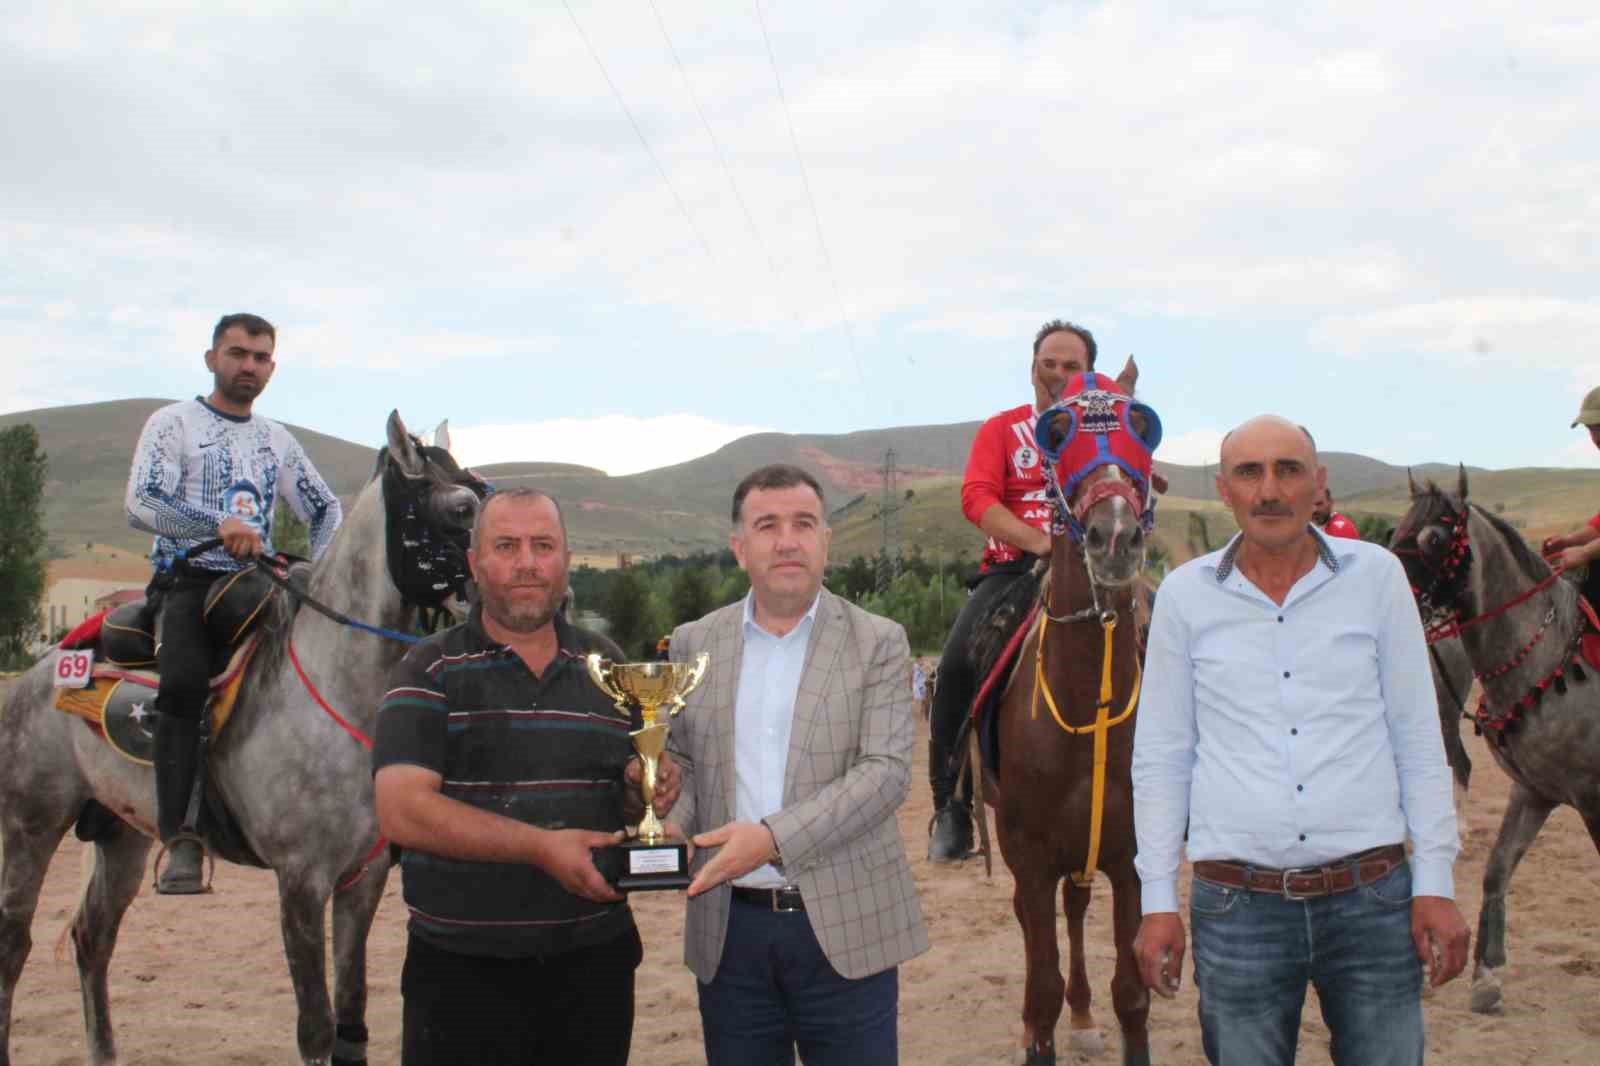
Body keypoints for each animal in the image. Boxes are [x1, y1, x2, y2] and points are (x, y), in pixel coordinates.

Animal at [0, 409, 480, 1056]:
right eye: (461, 508)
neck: (336, 688)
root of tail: (40, 671)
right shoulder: (300, 880)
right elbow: (316, 1027)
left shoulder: (364, 878)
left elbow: (352, 1017)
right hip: (31, 824)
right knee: (14, 946)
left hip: (121, 834)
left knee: (92, 937)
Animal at [979, 358, 1158, 1062]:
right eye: (1058, 433)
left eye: (1144, 424)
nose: (1115, 536)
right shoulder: (1029, 858)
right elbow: (1041, 988)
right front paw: (1039, 1032)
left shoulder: (1132, 859)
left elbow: (1132, 994)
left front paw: (1093, 1011)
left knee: (1077, 912)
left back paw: (1084, 1015)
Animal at [1388, 473, 1600, 1011]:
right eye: (1398, 529)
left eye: (1435, 538)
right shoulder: (1534, 790)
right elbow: (1497, 869)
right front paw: (1487, 975)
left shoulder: (1593, 799)